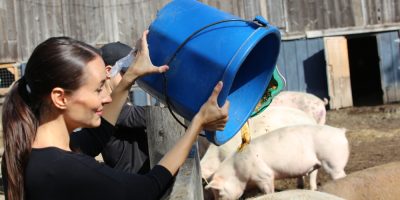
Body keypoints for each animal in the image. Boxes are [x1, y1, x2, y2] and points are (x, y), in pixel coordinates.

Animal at [205, 124, 348, 199]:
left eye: (220, 193)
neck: (237, 171)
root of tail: (340, 131)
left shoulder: (264, 176)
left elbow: (269, 191)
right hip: (318, 163)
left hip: (333, 161)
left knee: (341, 175)